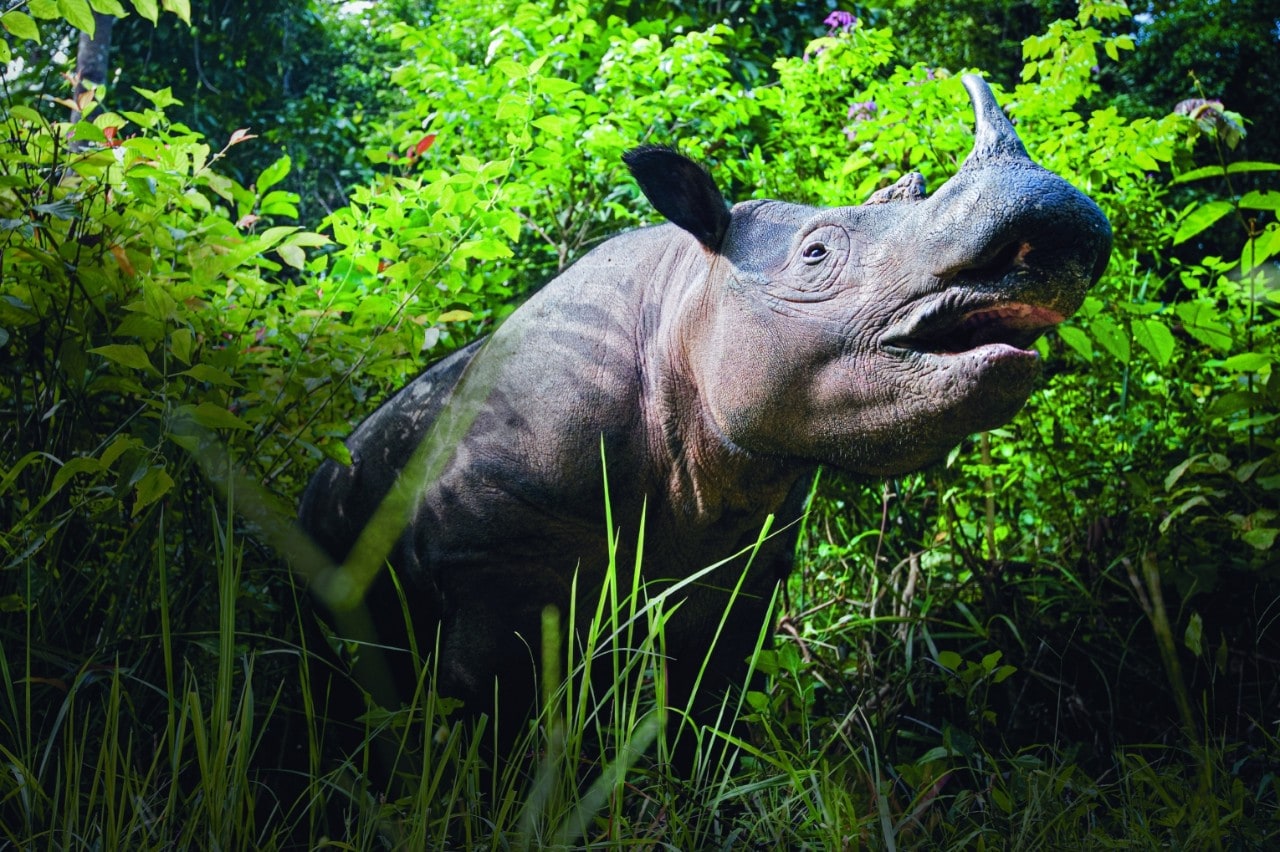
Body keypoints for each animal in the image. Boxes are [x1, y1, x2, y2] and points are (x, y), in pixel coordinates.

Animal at [296, 72, 1111, 736]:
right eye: (816, 255)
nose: (1056, 233)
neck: (686, 303)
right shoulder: (486, 558)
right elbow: (485, 710)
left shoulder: (742, 566)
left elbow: (703, 704)